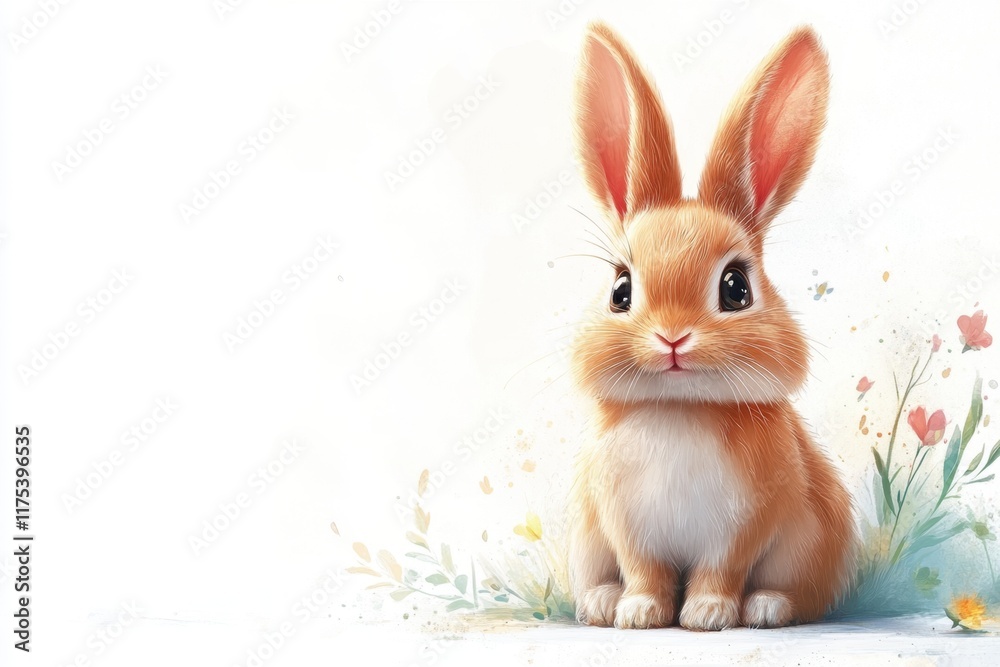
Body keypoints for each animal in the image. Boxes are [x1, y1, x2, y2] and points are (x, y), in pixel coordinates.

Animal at [567, 22, 856, 631]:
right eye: (621, 291)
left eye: (736, 288)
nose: (672, 338)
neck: (682, 407)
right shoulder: (625, 524)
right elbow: (645, 572)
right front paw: (640, 613)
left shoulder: (744, 527)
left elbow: (720, 571)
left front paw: (707, 615)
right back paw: (600, 603)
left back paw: (767, 608)